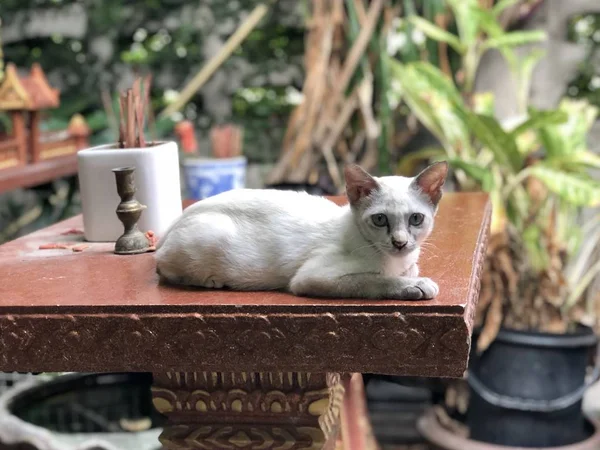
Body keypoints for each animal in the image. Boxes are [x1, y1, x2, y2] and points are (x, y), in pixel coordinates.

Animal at [155, 162, 446, 298]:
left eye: (416, 219)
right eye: (380, 220)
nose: (399, 243)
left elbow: (409, 270)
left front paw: (412, 275)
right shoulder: (312, 277)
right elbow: (376, 281)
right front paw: (418, 285)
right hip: (211, 235)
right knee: (163, 268)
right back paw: (212, 281)